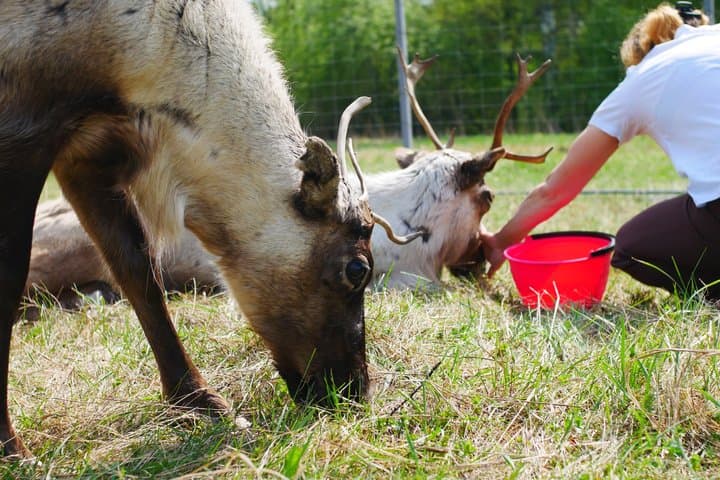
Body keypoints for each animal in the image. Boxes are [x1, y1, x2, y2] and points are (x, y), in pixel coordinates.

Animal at [0, 1, 417, 459]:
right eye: (357, 268)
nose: (355, 391)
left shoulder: (86, 157)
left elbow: (140, 273)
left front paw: (198, 401)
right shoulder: (23, 133)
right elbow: (8, 284)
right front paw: (10, 445)